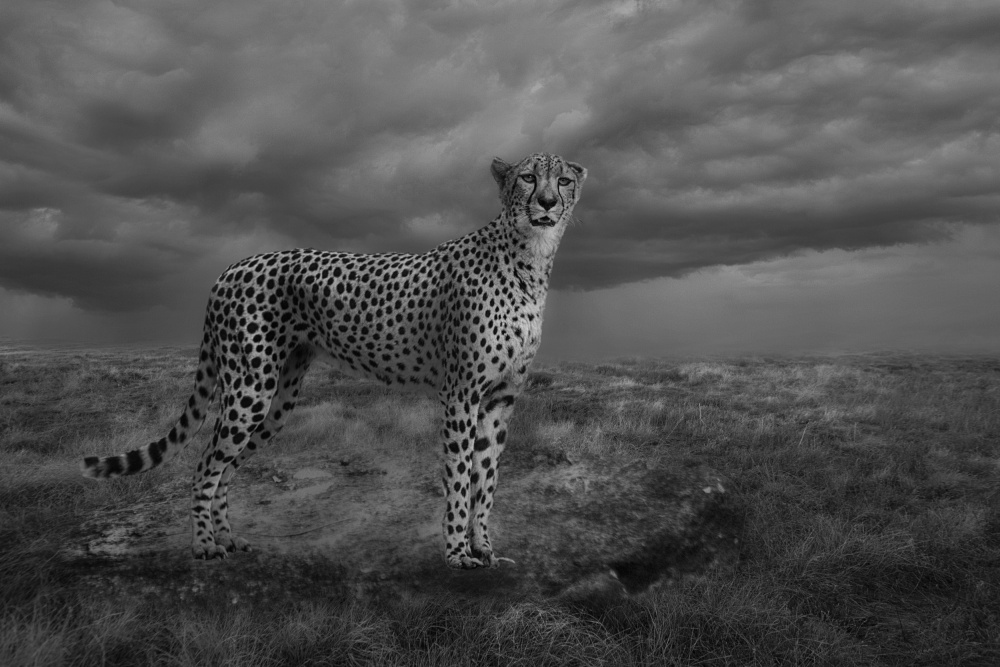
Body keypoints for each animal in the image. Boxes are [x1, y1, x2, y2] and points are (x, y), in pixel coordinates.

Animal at [81, 152, 587, 570]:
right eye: (527, 177)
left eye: (562, 180)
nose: (546, 203)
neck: (529, 260)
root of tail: (231, 267)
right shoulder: (461, 394)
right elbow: (462, 476)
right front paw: (457, 553)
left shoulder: (501, 398)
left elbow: (489, 476)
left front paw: (484, 547)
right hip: (250, 389)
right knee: (206, 463)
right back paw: (204, 545)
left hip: (278, 398)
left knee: (227, 467)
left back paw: (229, 539)